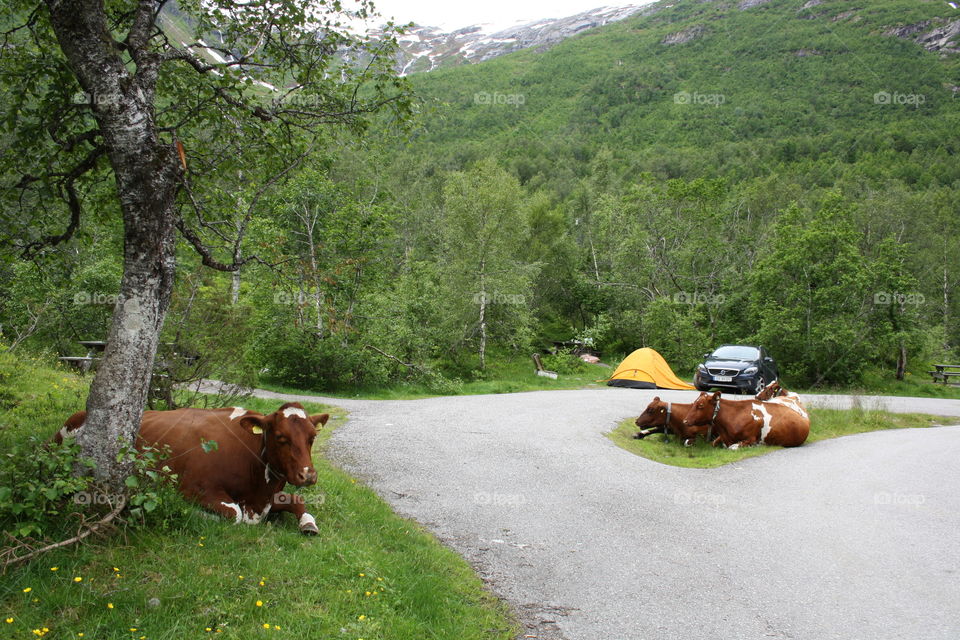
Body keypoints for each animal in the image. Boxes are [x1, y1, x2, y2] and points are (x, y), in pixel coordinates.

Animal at [60, 404, 332, 536]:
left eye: (312, 437)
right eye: (280, 437)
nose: (308, 475)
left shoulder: (264, 498)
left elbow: (297, 500)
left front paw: (308, 524)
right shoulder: (195, 488)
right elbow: (233, 514)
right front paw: (190, 512)